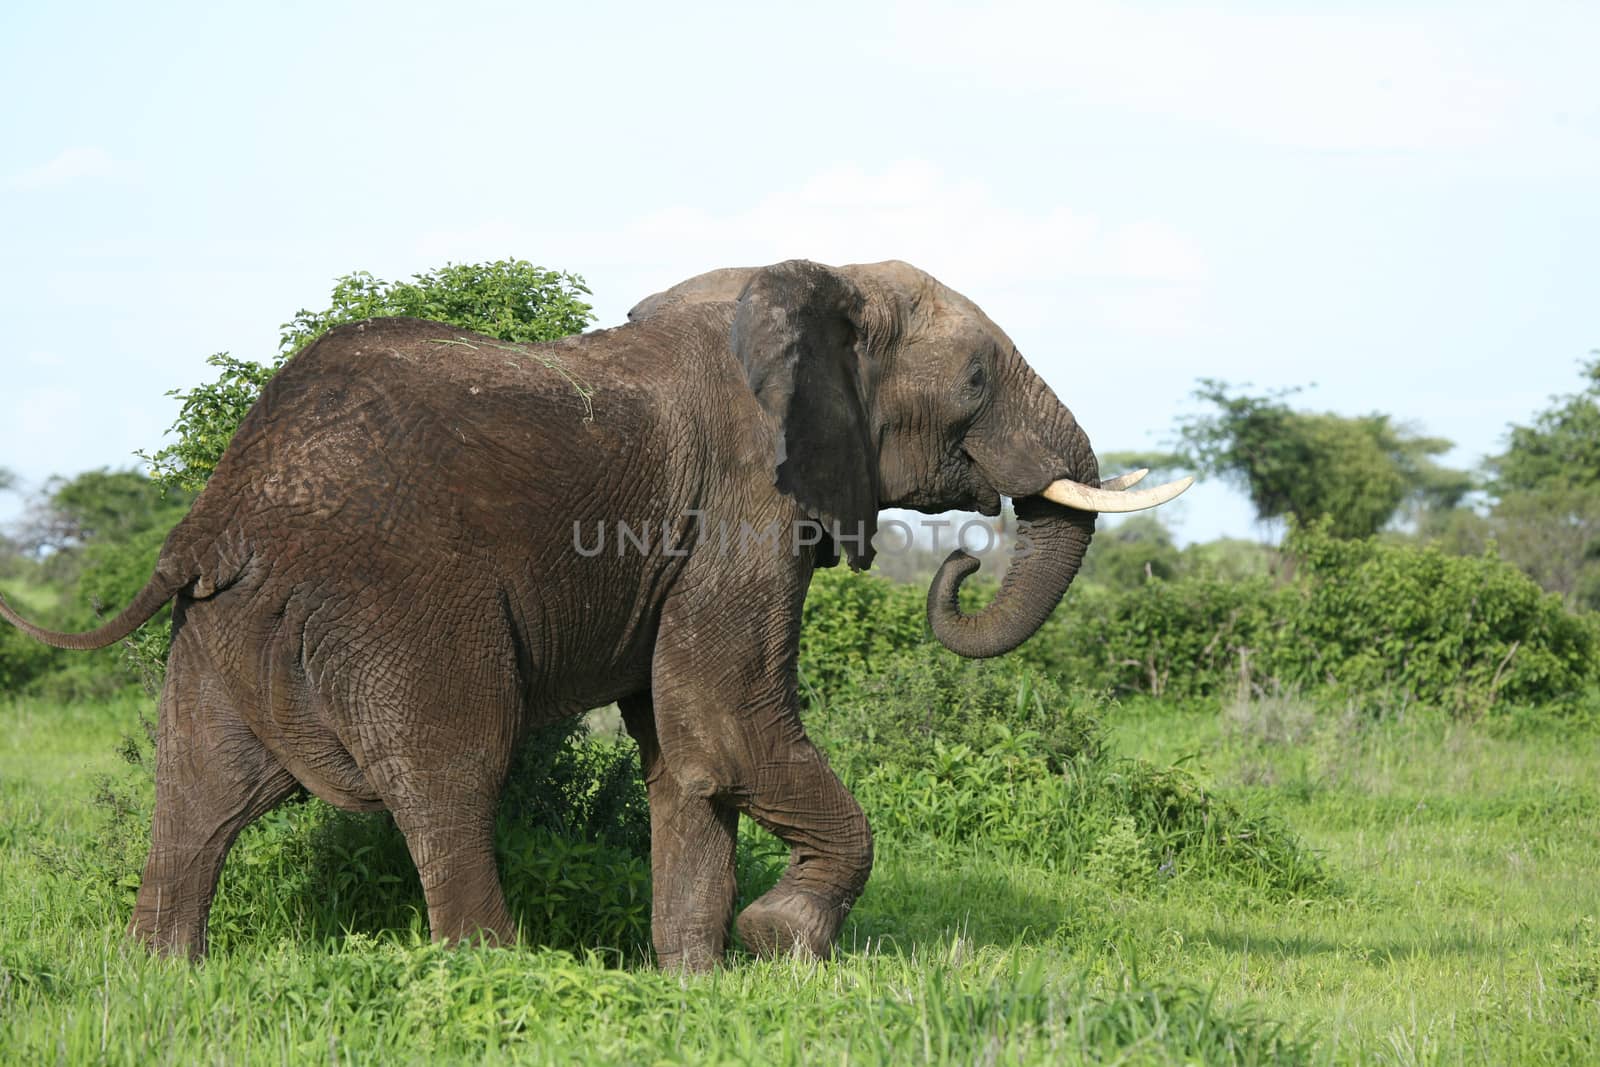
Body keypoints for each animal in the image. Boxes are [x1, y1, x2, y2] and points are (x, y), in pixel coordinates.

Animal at [0, 259, 1190, 966]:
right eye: (979, 380)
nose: (962, 559)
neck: (816, 281)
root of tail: (218, 512)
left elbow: (686, 756)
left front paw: (701, 981)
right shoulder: (744, 501)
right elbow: (728, 723)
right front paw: (778, 940)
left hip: (222, 625)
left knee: (199, 791)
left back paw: (160, 973)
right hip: (395, 603)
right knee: (452, 770)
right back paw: (489, 967)